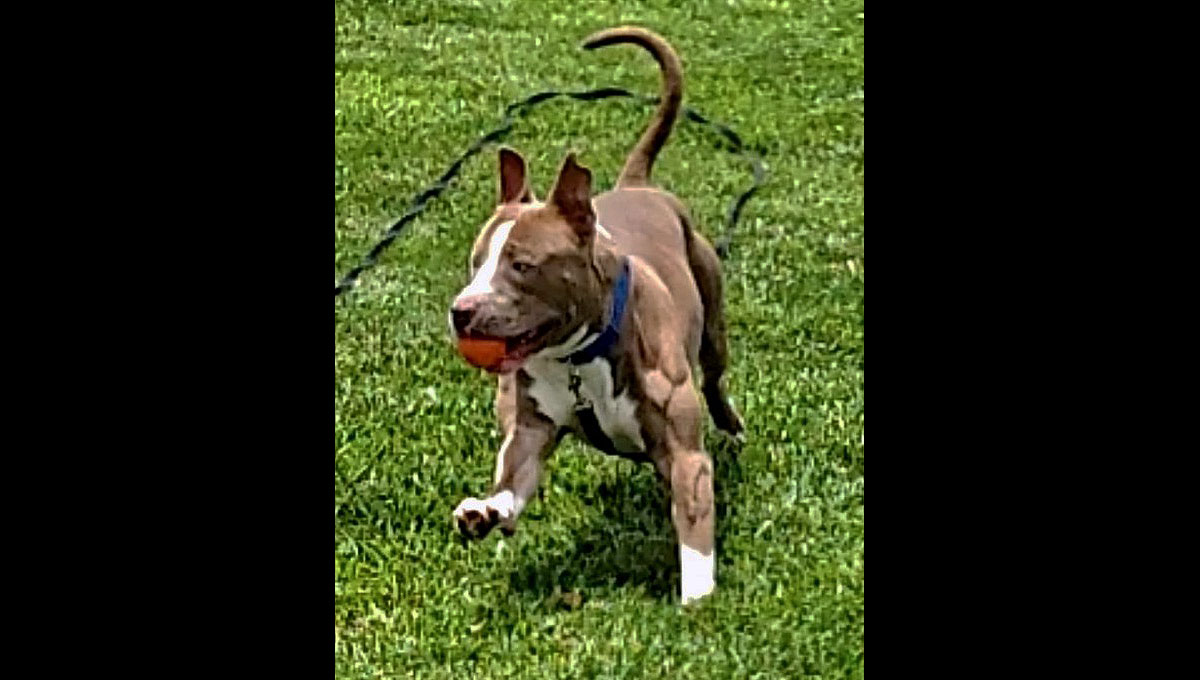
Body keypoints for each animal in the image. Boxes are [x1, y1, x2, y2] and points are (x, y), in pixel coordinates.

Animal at [448, 26, 744, 605]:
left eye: (521, 265)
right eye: (476, 263)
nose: (461, 312)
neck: (577, 357)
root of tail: (637, 184)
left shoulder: (686, 455)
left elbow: (694, 519)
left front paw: (698, 601)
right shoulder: (530, 428)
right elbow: (514, 476)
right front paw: (486, 510)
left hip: (712, 317)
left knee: (715, 376)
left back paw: (732, 424)